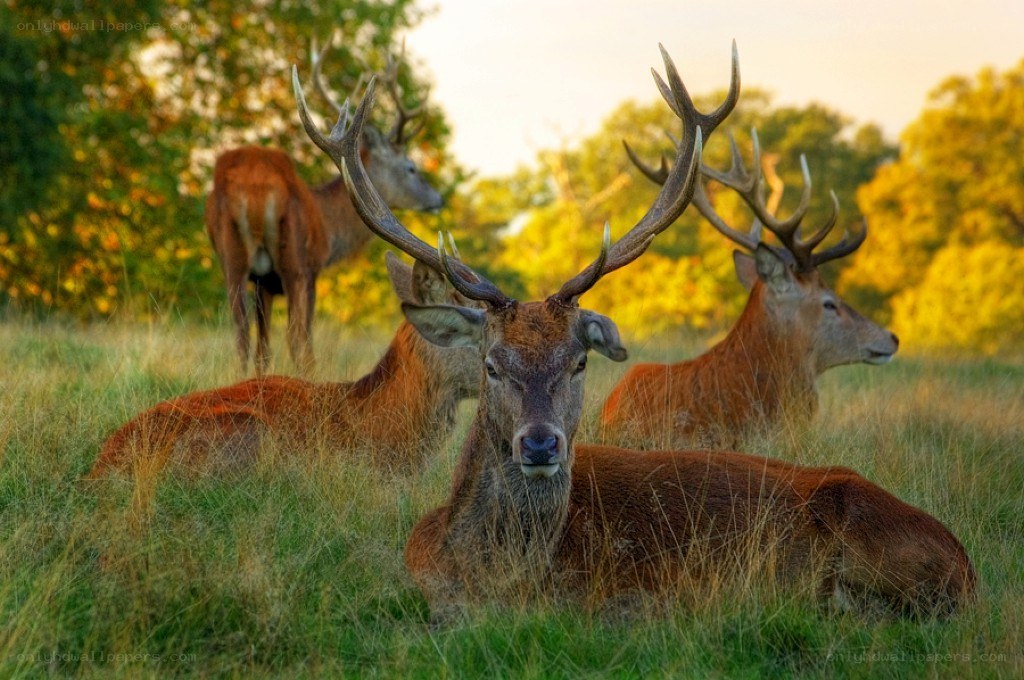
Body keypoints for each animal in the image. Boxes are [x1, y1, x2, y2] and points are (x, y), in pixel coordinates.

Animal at [205, 36, 442, 376]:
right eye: (411, 167)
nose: (438, 198)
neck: (330, 225)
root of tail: (255, 186)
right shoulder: (312, 268)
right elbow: (301, 336)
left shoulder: (264, 282)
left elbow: (263, 346)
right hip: (293, 260)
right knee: (297, 338)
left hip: (231, 257)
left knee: (241, 334)